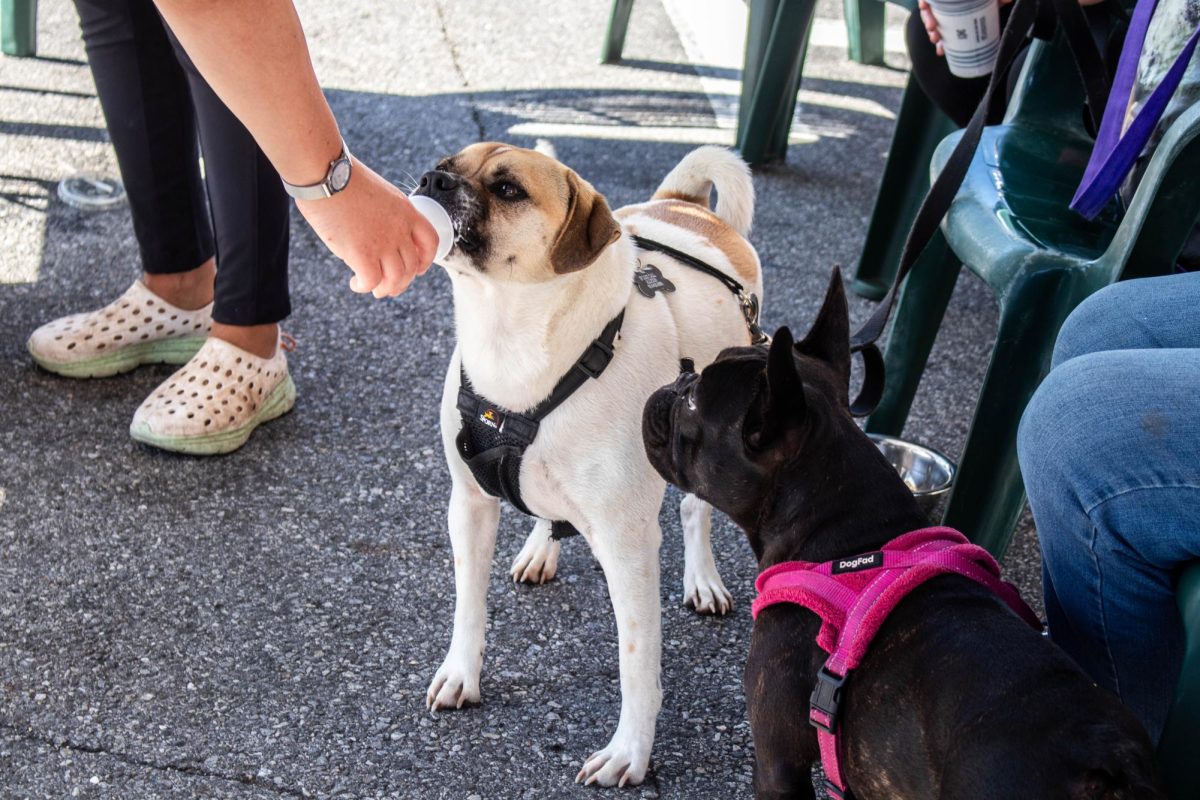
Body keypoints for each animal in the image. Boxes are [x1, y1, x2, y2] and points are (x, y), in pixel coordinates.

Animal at [417, 143, 763, 786]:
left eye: (508, 189)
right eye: (447, 162)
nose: (433, 179)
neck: (511, 336)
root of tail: (685, 207)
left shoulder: (628, 547)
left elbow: (637, 664)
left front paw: (632, 752)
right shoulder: (469, 504)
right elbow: (468, 605)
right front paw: (461, 673)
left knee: (694, 511)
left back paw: (702, 578)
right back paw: (541, 547)